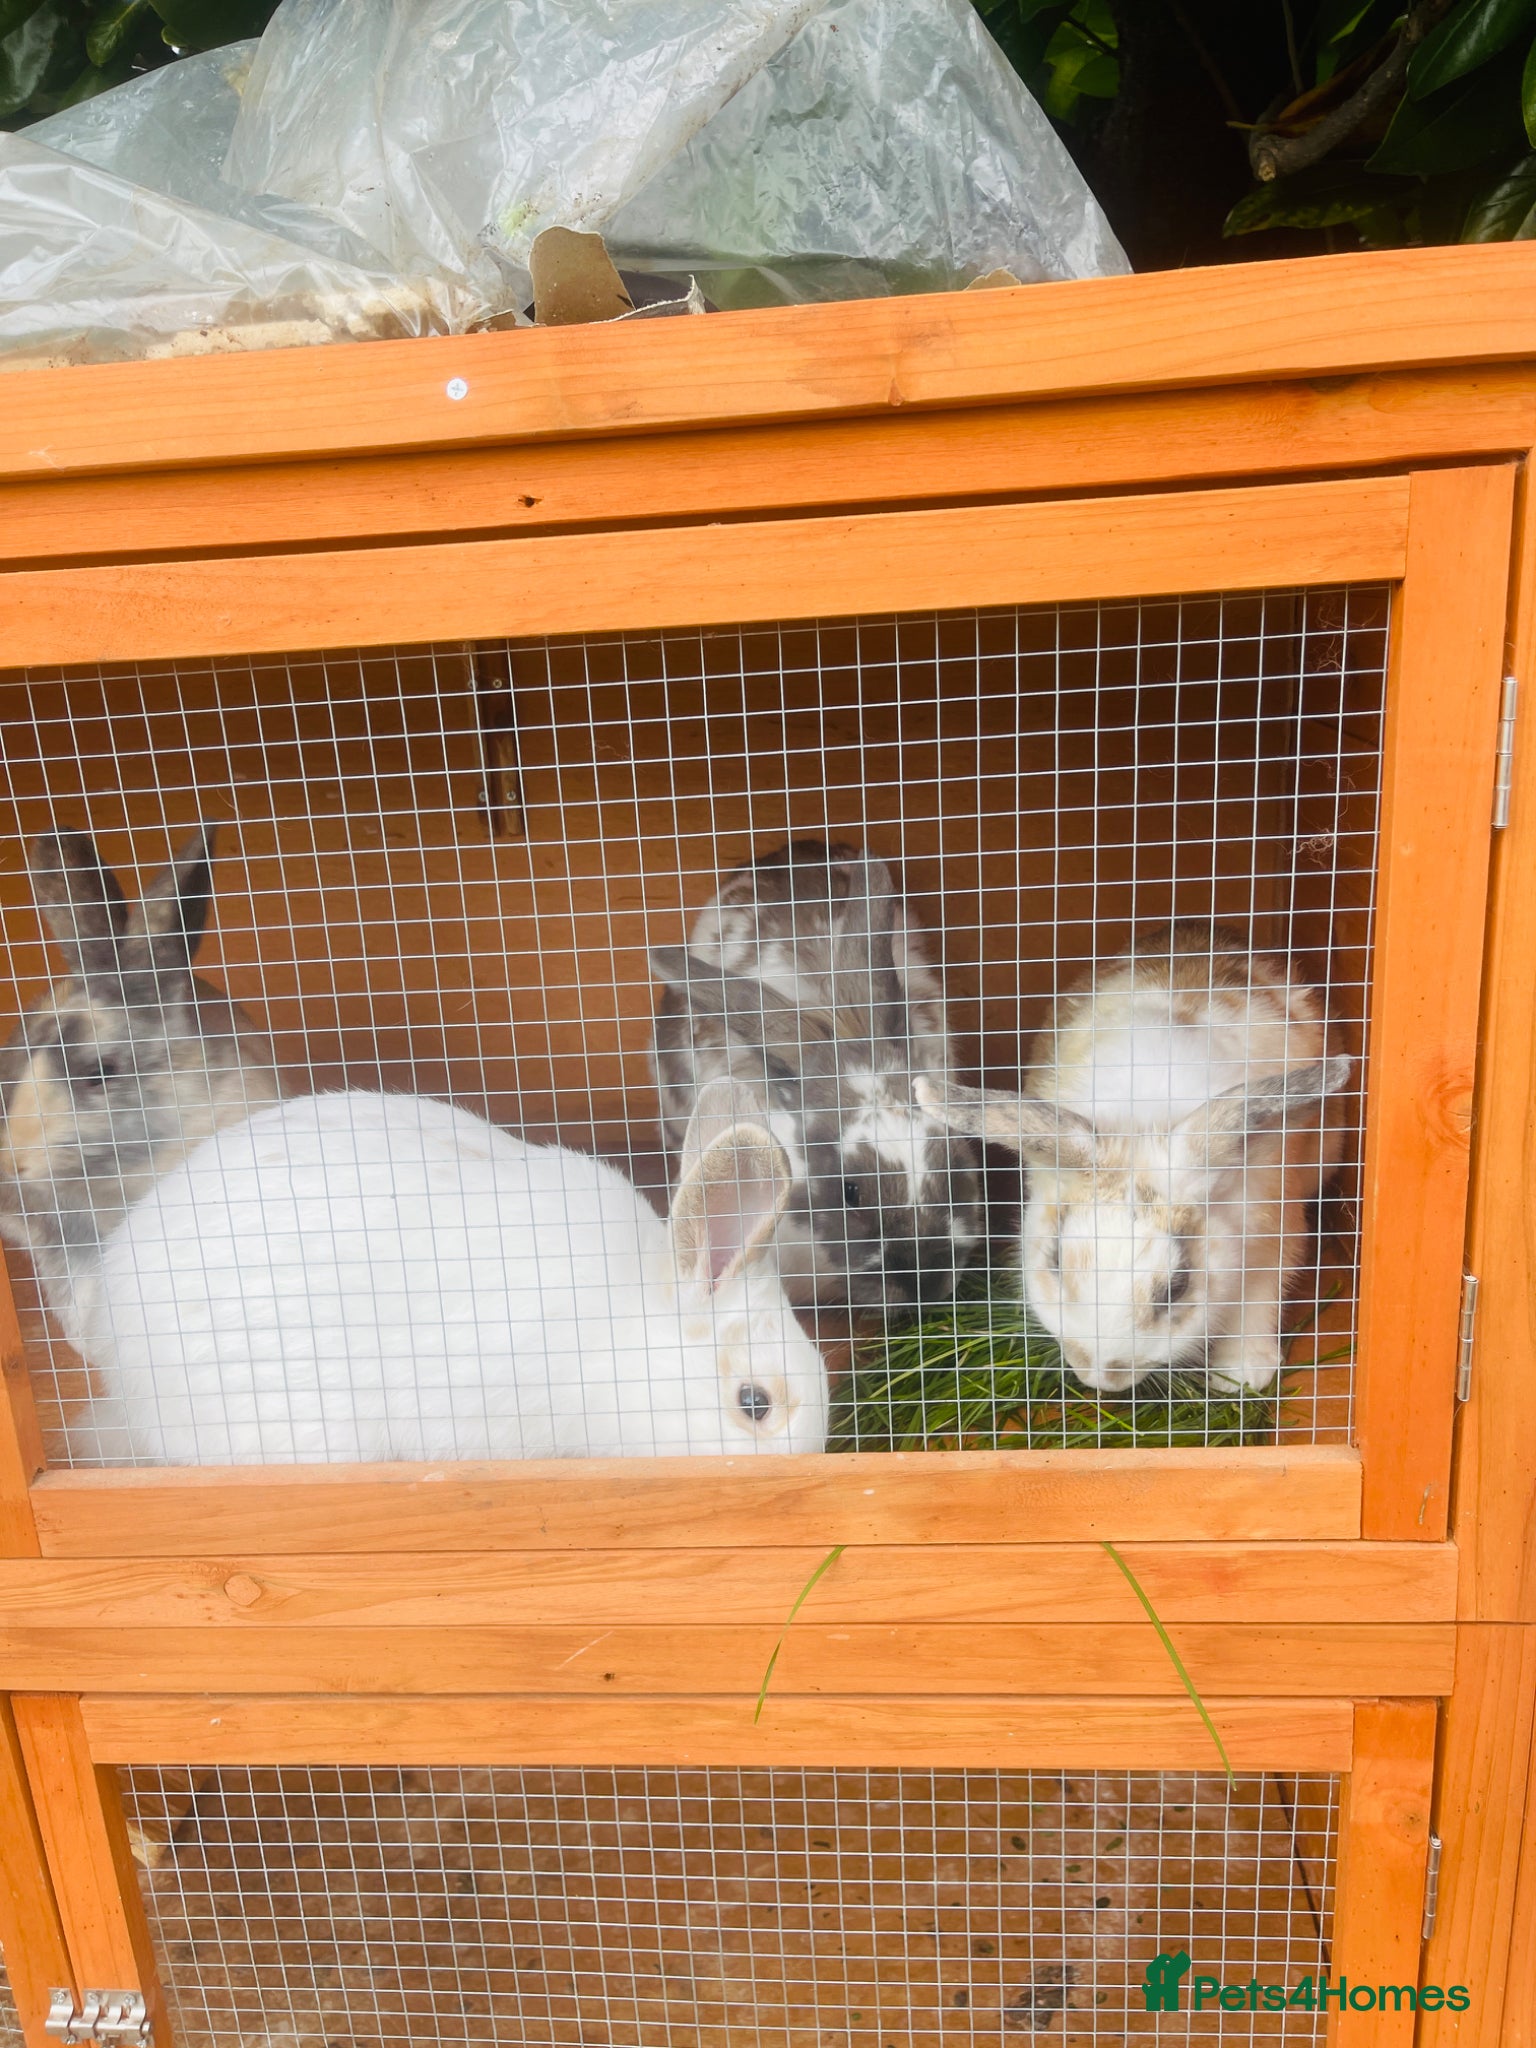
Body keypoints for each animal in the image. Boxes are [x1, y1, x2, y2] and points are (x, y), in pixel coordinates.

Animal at [917, 921, 1351, 1396]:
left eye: (1178, 1287)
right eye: (1055, 1261)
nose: (1100, 1376)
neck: (1143, 1120)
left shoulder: (1271, 1237)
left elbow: (1257, 1300)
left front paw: (1242, 1375)